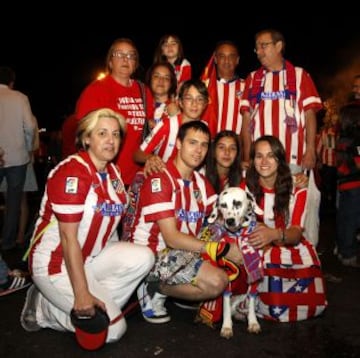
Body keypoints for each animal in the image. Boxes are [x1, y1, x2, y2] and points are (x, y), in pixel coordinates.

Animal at [207, 187, 262, 338]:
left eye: (237, 203)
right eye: (223, 205)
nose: (230, 221)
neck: (238, 237)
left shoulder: (254, 278)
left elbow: (251, 302)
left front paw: (253, 323)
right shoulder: (228, 278)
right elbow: (225, 304)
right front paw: (226, 327)